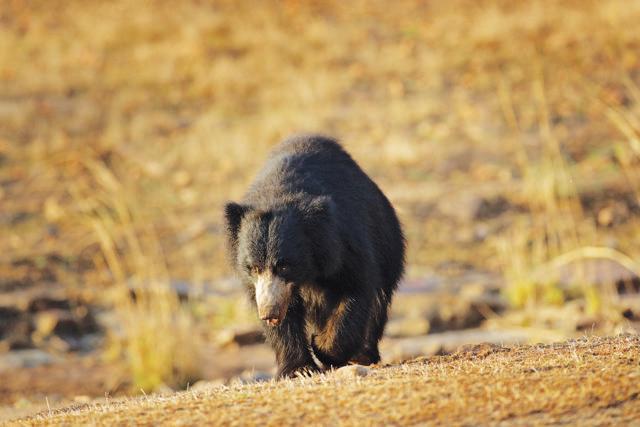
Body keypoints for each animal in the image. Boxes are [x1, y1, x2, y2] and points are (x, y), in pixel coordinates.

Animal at [224, 134, 405, 378]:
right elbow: (285, 319)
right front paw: (299, 369)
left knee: (378, 300)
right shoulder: (264, 288)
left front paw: (323, 347)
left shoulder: (345, 243)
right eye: (253, 268)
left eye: (285, 266)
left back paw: (362, 354)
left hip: (387, 239)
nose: (269, 313)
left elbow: (355, 289)